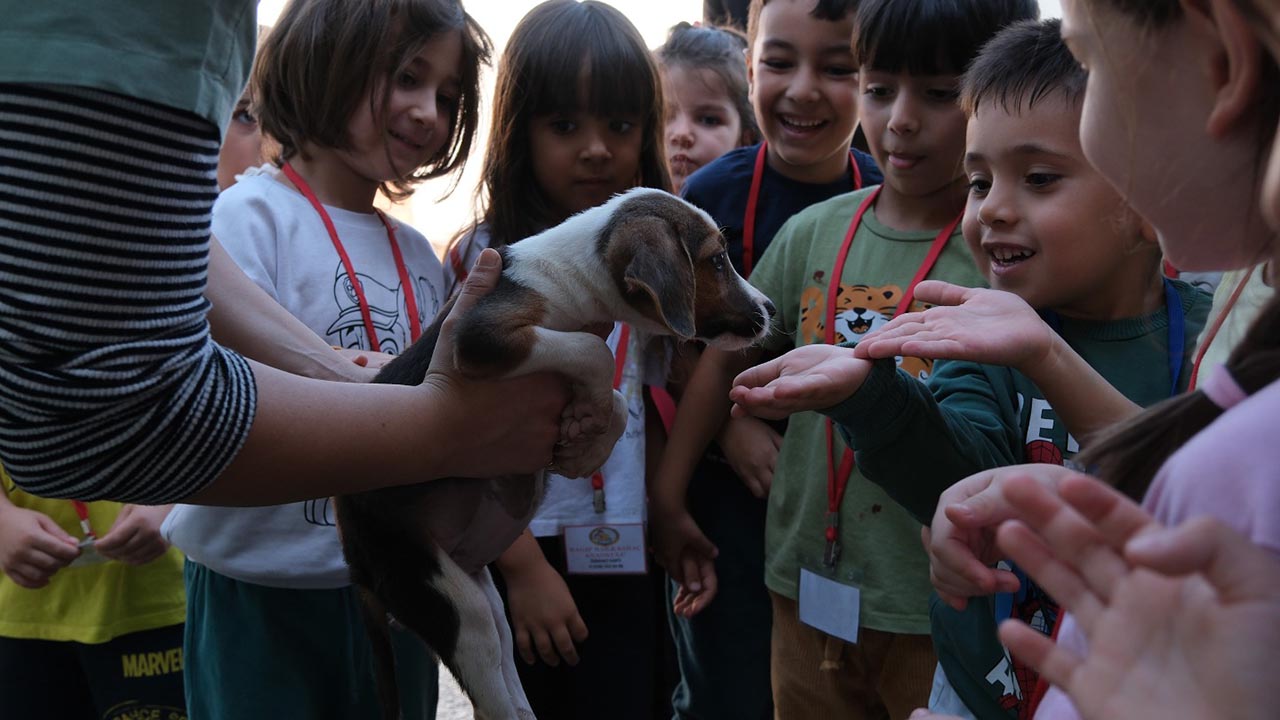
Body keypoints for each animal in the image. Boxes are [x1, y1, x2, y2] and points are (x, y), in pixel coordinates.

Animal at [337, 188, 768, 712]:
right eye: (718, 260)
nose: (769, 309)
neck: (572, 274)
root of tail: (353, 557)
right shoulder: (481, 336)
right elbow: (592, 350)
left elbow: (617, 399)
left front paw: (586, 437)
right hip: (436, 588)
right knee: (488, 687)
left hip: (477, 589)